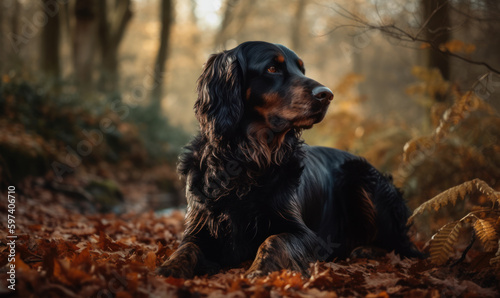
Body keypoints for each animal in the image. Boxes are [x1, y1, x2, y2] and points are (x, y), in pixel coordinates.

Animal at [157, 40, 422, 278]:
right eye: (273, 68)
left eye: (301, 70)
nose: (327, 95)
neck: (247, 158)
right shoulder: (200, 226)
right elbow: (186, 248)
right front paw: (170, 268)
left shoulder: (306, 234)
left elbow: (275, 240)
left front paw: (259, 270)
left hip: (362, 178)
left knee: (401, 246)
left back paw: (364, 249)